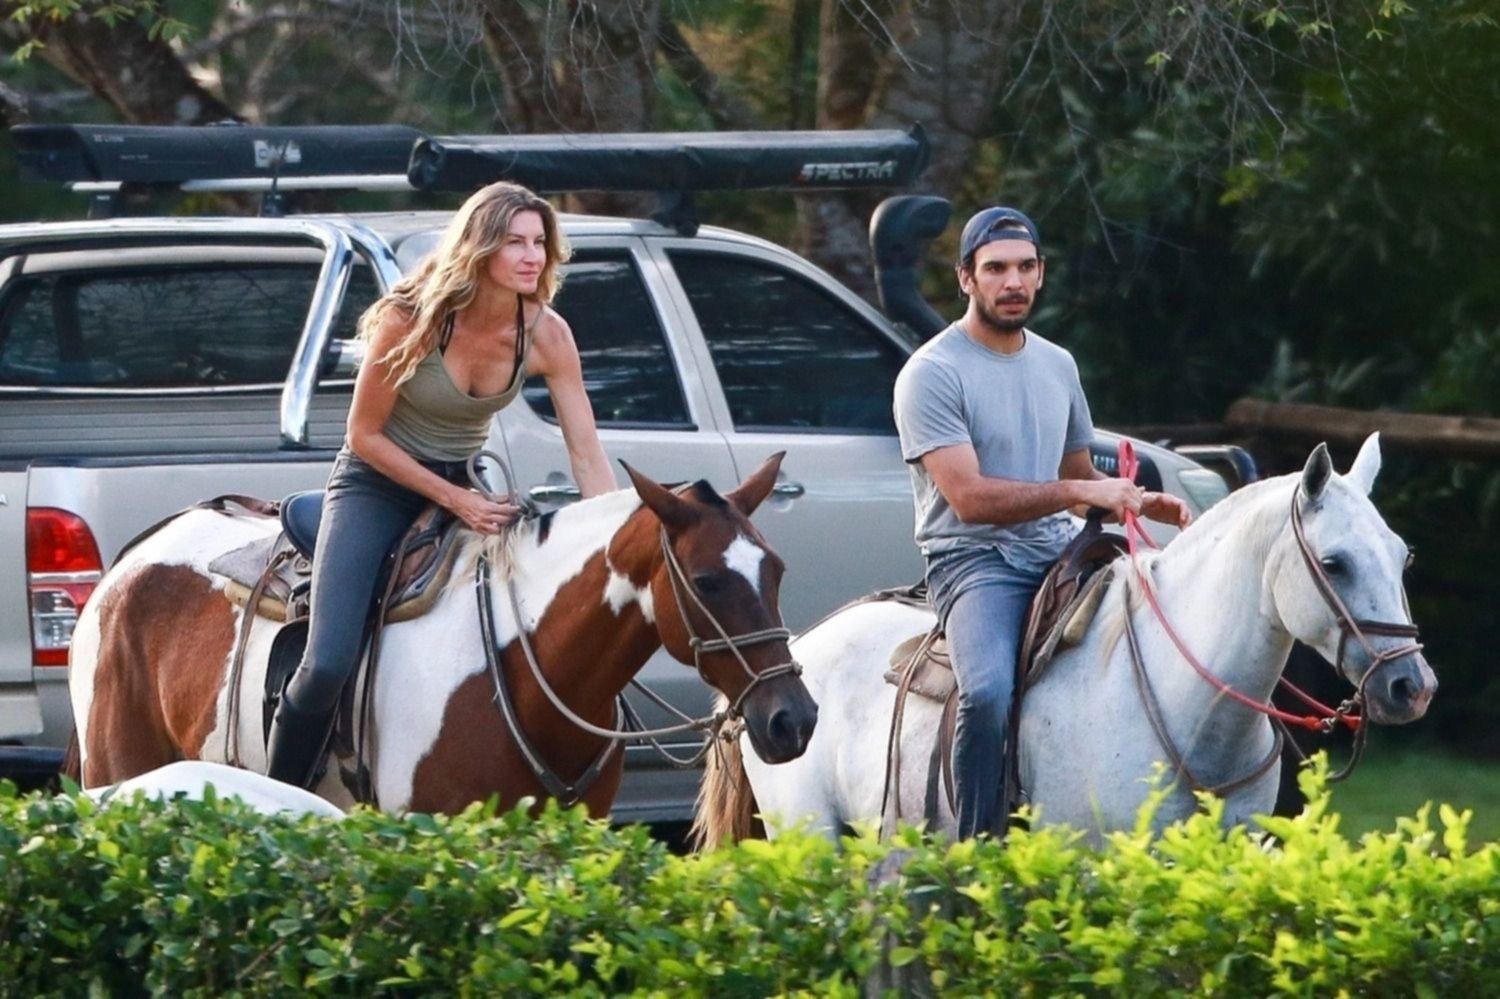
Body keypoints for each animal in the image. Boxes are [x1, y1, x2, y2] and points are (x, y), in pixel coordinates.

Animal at [67, 456, 822, 816]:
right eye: (709, 581)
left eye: (778, 569)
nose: (794, 719)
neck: (526, 669)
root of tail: (130, 562)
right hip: (118, 771)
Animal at [702, 435, 1440, 840]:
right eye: (1335, 562)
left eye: (1402, 555)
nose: (1413, 685)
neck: (1188, 706)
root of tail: (784, 662)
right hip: (811, 836)